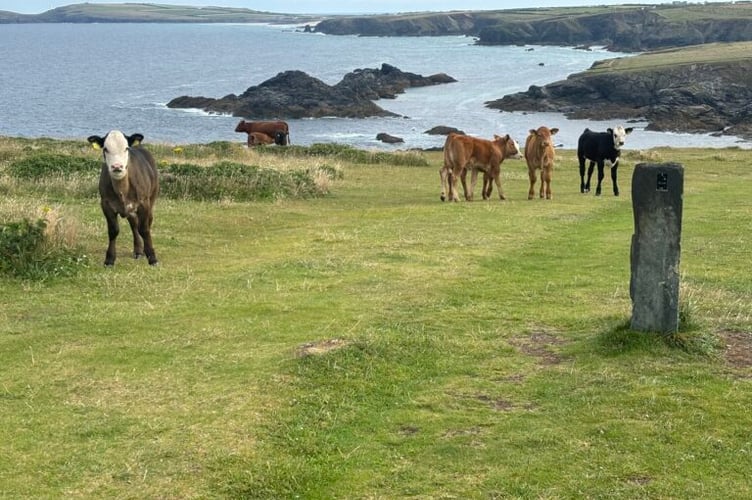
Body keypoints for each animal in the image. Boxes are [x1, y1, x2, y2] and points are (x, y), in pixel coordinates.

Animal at [87, 131, 159, 267]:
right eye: (105, 149)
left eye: (126, 148)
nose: (117, 166)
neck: (122, 190)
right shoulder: (106, 204)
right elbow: (113, 230)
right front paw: (109, 259)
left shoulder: (144, 203)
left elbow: (144, 229)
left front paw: (152, 258)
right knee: (134, 224)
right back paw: (138, 251)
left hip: (152, 197)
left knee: (147, 222)